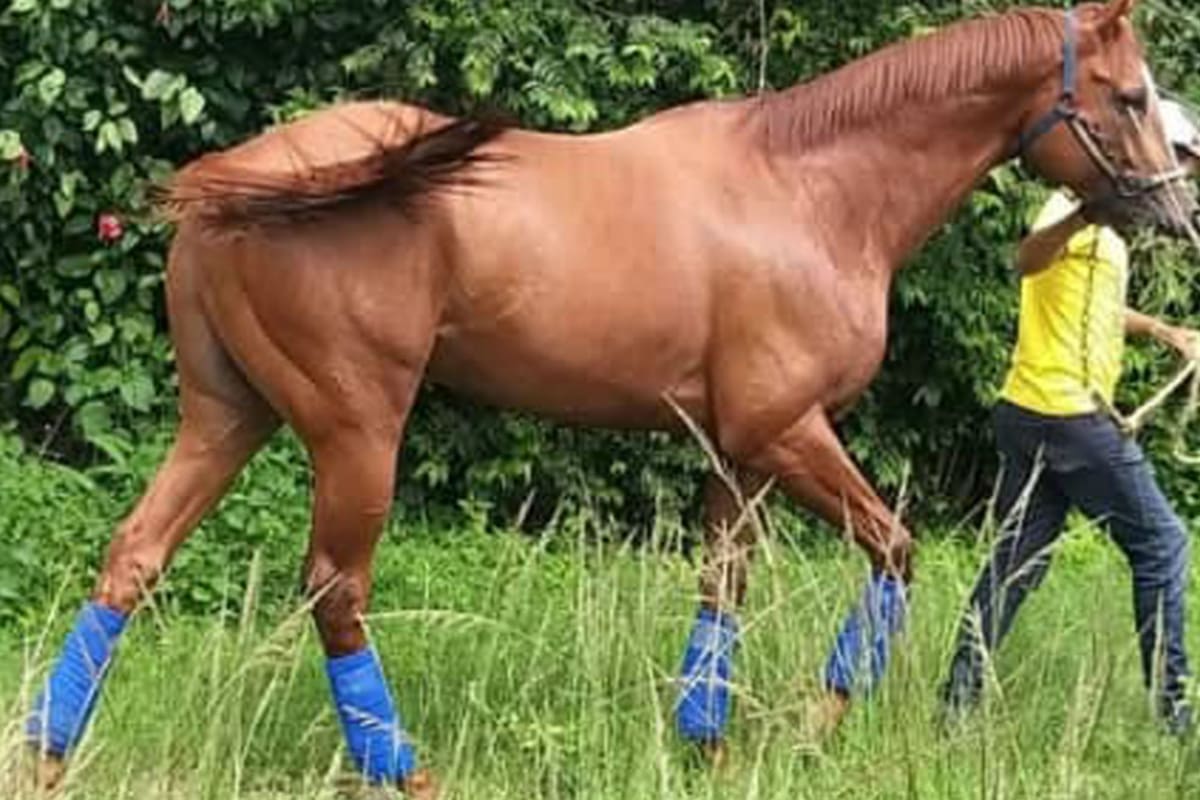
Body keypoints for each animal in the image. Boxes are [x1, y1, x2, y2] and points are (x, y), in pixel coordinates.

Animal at [24, 1, 1196, 796]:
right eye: (1130, 95)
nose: (1177, 212)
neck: (808, 190)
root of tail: (239, 174)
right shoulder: (787, 431)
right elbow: (894, 552)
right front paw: (815, 722)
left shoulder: (735, 450)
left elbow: (722, 588)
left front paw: (709, 742)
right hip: (356, 429)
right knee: (335, 590)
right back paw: (406, 771)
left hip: (227, 418)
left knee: (134, 556)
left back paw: (45, 753)